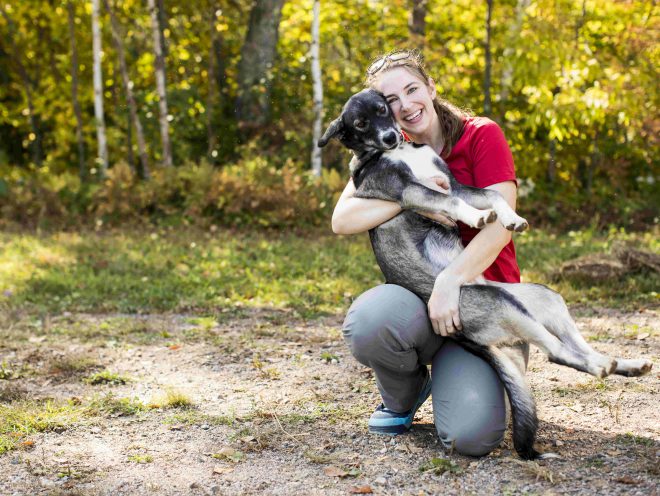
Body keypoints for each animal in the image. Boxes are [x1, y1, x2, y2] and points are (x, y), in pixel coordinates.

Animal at [318, 89, 648, 462]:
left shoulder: (454, 183)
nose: (389, 136)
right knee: (557, 352)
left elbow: (488, 194)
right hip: (500, 303)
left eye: (383, 108)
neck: (398, 152)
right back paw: (602, 367)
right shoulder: (410, 191)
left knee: (575, 344)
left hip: (542, 298)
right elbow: (447, 201)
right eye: (360, 124)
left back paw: (626, 364)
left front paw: (511, 218)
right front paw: (476, 217)